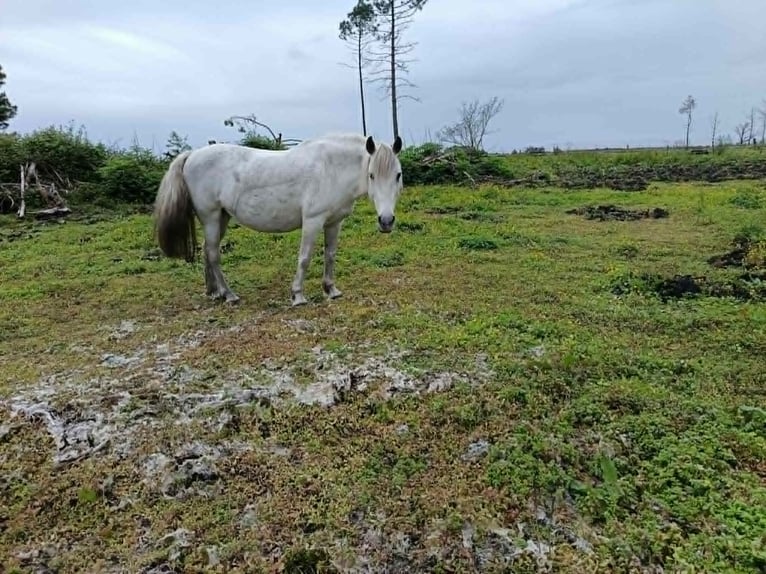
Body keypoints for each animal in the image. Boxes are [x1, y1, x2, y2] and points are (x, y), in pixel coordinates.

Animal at [153, 133, 404, 306]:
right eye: (372, 175)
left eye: (398, 175)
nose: (386, 221)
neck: (331, 168)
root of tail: (192, 155)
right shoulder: (312, 221)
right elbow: (305, 258)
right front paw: (298, 295)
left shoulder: (333, 223)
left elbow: (330, 255)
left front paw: (331, 290)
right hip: (211, 217)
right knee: (214, 254)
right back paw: (229, 295)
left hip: (220, 218)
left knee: (207, 250)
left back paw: (214, 292)